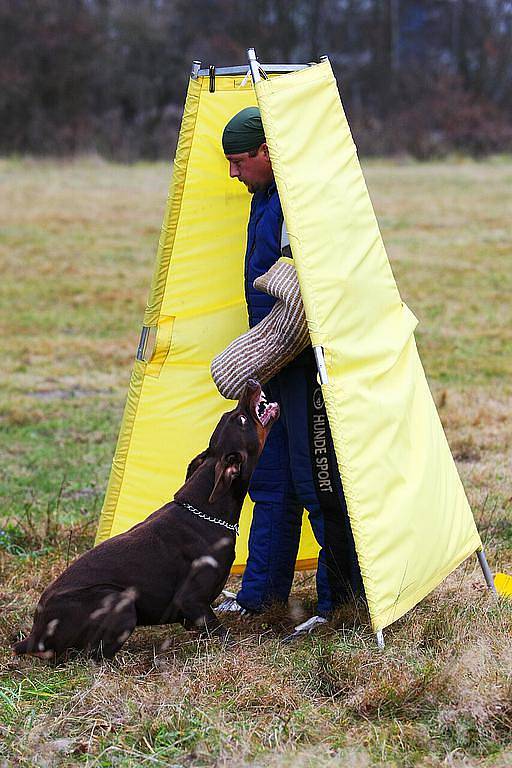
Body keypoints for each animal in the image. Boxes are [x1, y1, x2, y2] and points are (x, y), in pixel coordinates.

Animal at [13, 380, 280, 664]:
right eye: (241, 419)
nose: (251, 383)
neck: (205, 511)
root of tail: (35, 636)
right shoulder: (192, 601)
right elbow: (221, 632)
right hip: (120, 601)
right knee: (91, 655)